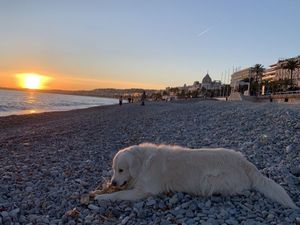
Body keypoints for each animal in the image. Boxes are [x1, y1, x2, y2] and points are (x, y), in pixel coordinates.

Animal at [95, 143, 298, 208]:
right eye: (113, 169)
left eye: (121, 169)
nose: (113, 182)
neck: (143, 161)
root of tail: (244, 161)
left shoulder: (145, 191)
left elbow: (120, 195)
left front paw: (102, 197)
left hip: (210, 180)